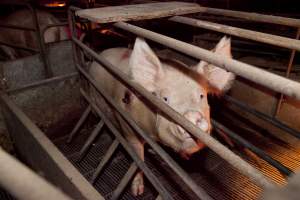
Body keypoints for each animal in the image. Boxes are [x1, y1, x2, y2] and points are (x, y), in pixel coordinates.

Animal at [89, 36, 234, 195]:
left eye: (201, 95)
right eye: (165, 99)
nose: (192, 117)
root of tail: (102, 53)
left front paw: (186, 157)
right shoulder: (128, 128)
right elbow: (138, 158)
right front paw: (137, 192)